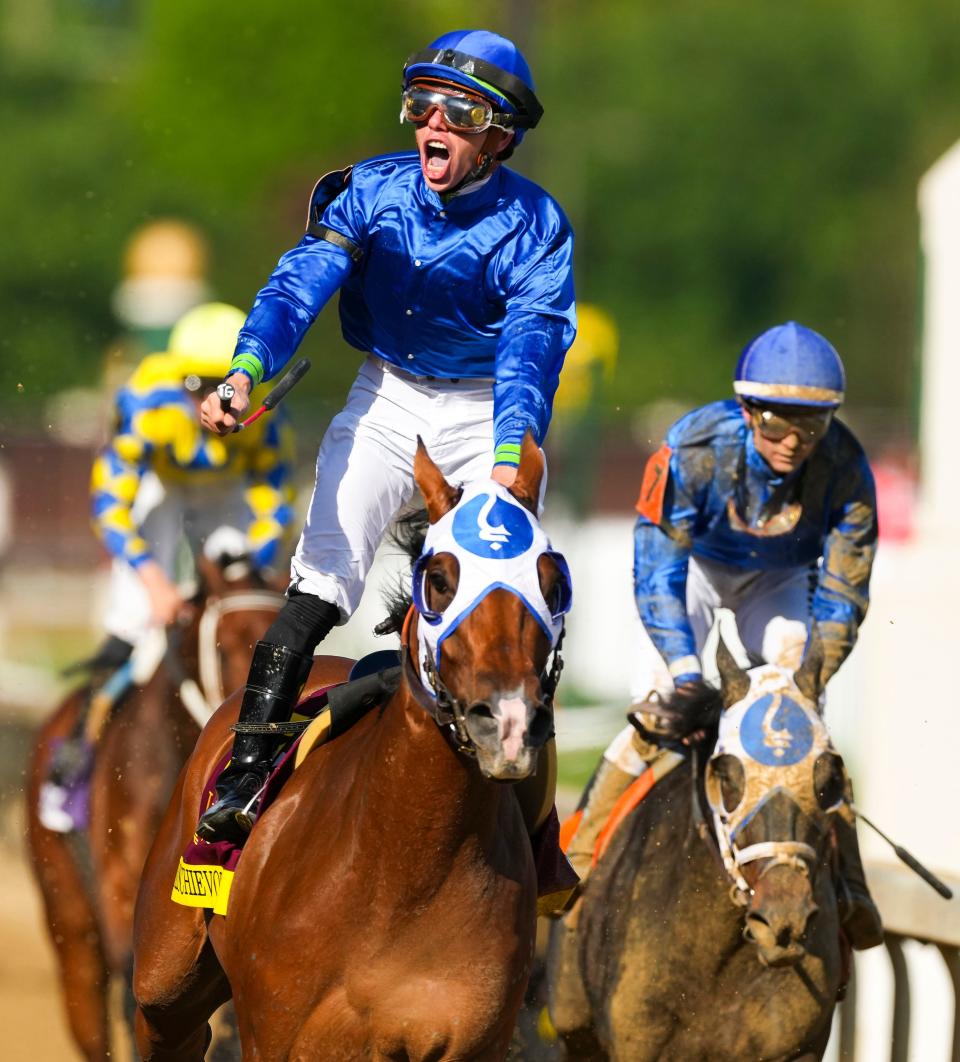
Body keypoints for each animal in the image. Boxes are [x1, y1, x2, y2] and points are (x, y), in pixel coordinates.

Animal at [127, 437, 560, 1062]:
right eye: (439, 580)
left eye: (553, 583)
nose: (506, 720)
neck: (405, 869)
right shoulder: (279, 1033)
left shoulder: (468, 1036)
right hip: (165, 975)